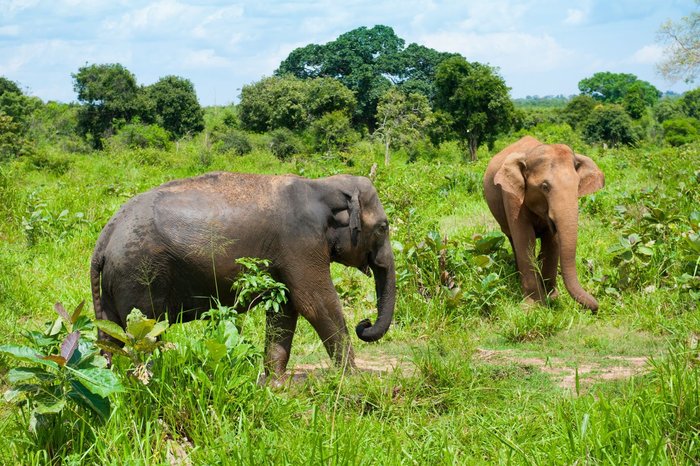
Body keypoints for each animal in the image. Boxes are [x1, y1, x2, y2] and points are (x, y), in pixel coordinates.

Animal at [89, 172, 394, 382]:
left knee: (111, 334)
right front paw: (352, 379)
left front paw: (275, 384)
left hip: (115, 283)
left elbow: (285, 308)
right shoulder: (301, 242)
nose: (364, 323)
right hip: (139, 275)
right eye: (383, 227)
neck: (322, 185)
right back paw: (146, 380)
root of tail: (105, 236)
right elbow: (315, 303)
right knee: (144, 334)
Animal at [484, 137, 604, 314]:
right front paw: (533, 307)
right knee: (513, 239)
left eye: (577, 186)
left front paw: (551, 298)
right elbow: (525, 239)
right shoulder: (511, 195)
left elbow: (552, 241)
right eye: (544, 187)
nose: (595, 308)